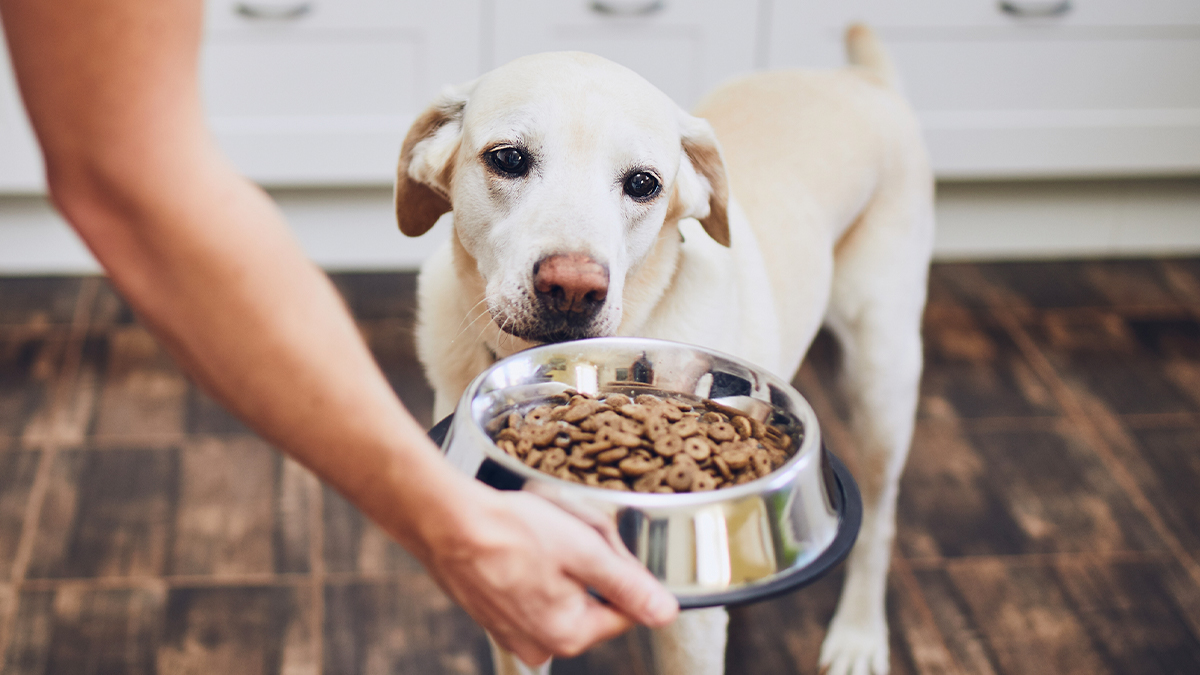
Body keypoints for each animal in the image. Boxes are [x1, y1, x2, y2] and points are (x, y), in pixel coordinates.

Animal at [398, 23, 931, 672]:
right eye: (507, 158)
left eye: (643, 184)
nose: (572, 288)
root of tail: (862, 79)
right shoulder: (515, 600)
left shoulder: (688, 629)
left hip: (882, 378)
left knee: (879, 520)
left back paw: (859, 634)